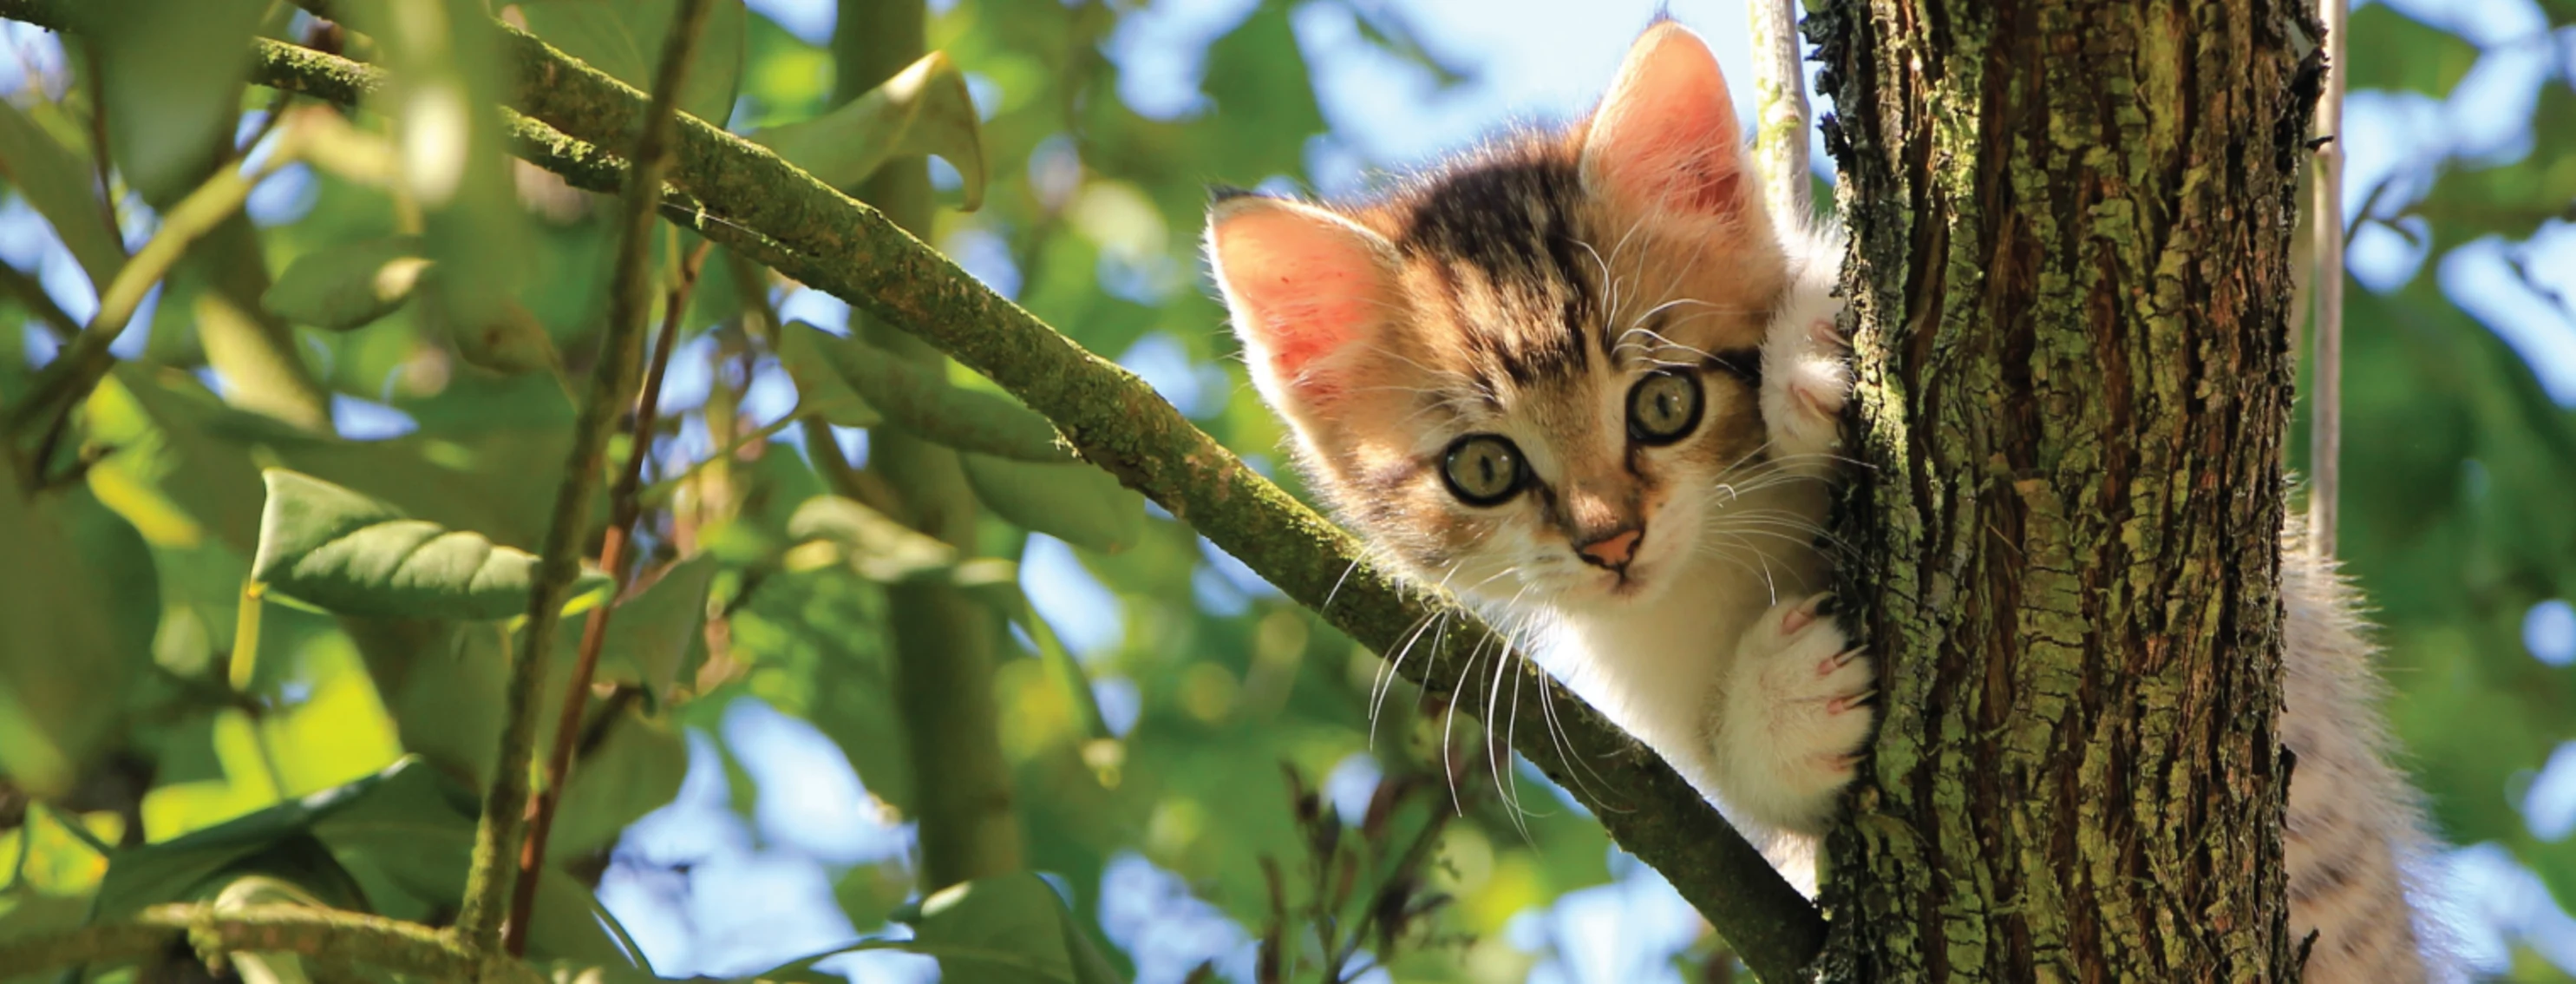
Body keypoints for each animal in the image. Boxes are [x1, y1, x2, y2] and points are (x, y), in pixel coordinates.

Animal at [1205, 19, 2452, 979]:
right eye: (1483, 468)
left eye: (1662, 402)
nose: (1612, 540)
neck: (1721, 549)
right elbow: (1743, 796)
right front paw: (1785, 702)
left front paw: (1808, 355)